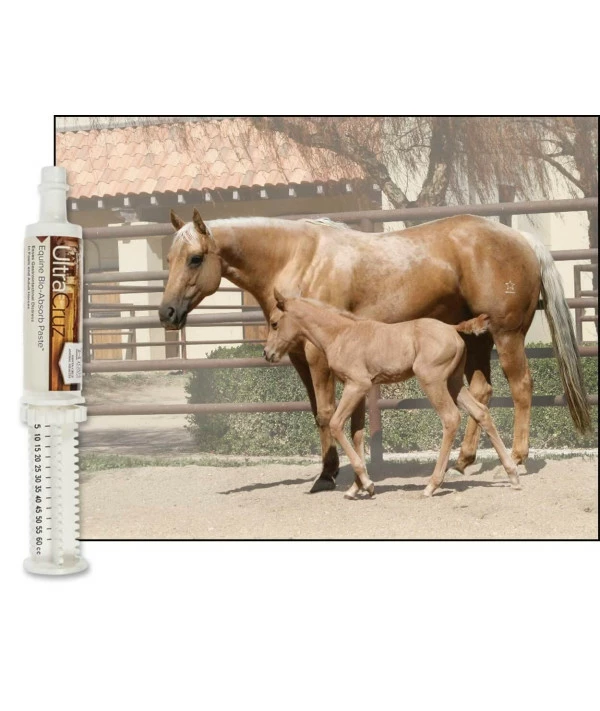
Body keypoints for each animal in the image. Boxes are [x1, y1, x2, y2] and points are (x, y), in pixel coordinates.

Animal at [264, 294, 521, 497]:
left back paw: (431, 485)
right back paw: (513, 475)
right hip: (454, 382)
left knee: (451, 418)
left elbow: (336, 425)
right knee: (481, 412)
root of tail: (452, 328)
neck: (341, 334)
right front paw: (356, 487)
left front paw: (367, 484)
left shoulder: (356, 385)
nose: (267, 354)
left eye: (274, 323)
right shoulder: (359, 389)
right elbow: (357, 433)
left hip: (432, 380)